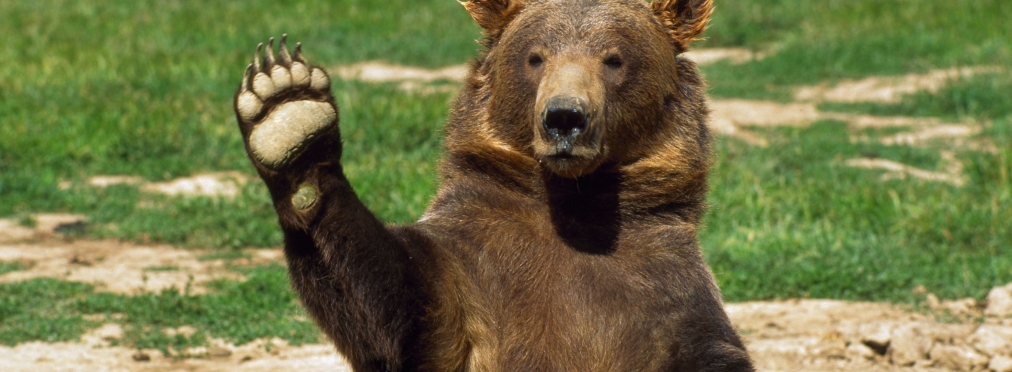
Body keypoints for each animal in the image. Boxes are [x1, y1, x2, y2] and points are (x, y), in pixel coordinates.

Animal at [231, 0, 752, 369]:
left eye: (614, 58)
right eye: (535, 57)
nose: (565, 118)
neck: (573, 204)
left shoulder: (665, 289)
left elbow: (710, 348)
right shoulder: (473, 268)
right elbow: (394, 304)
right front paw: (288, 113)